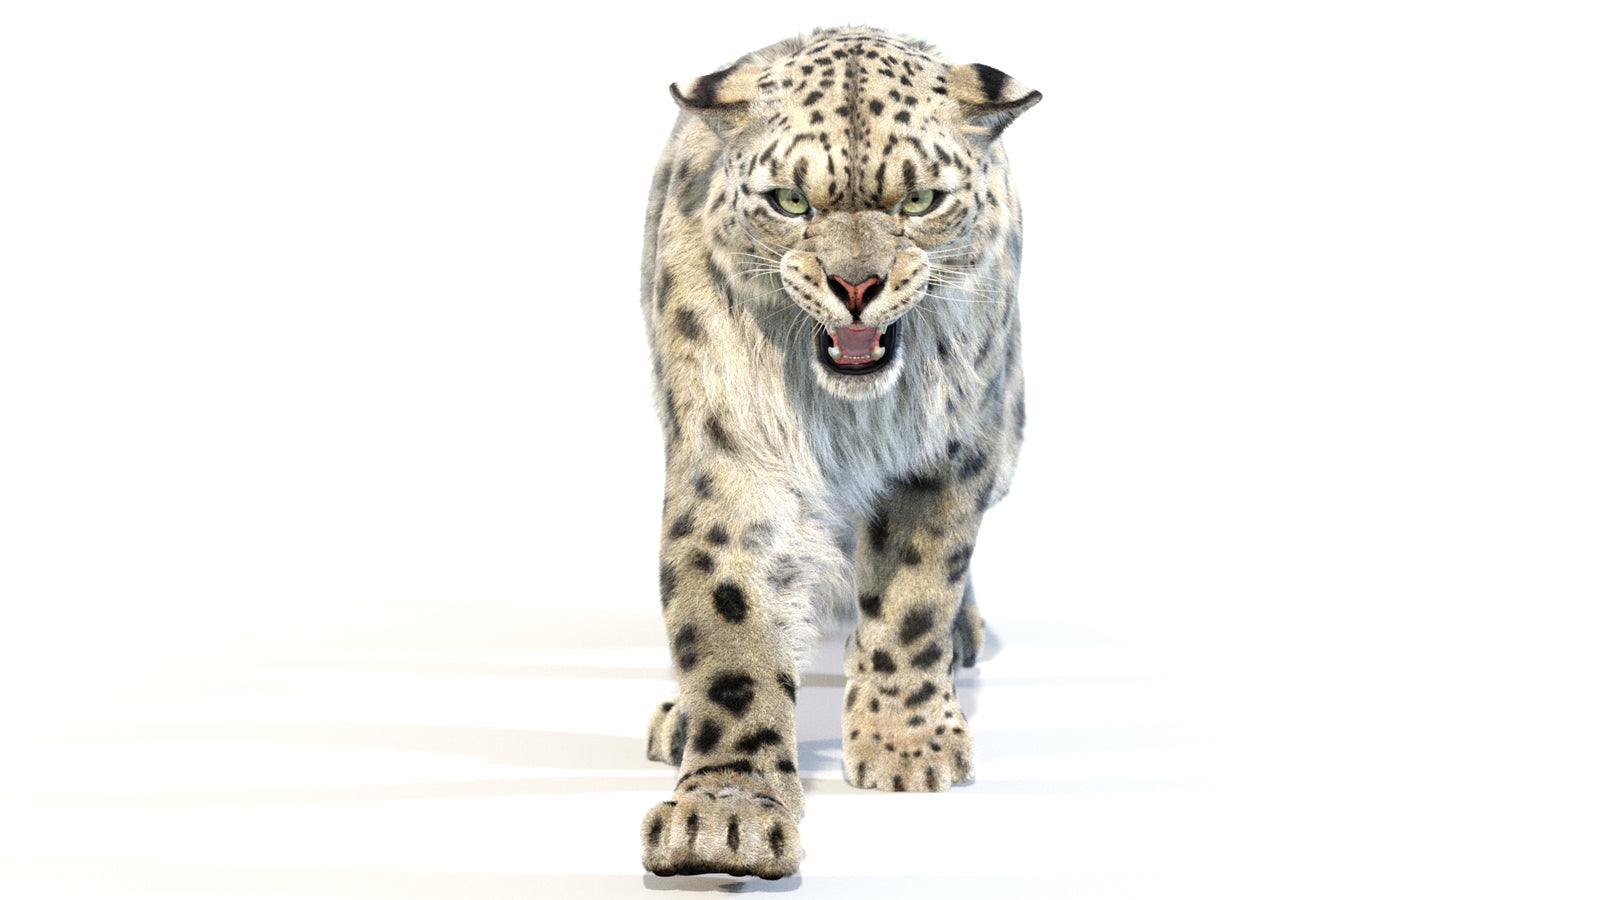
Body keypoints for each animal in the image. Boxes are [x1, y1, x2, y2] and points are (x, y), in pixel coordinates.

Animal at [637, 26, 1040, 879]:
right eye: (791, 201)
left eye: (919, 200)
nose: (857, 285)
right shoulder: (733, 461)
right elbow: (728, 631)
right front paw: (722, 816)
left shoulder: (947, 452)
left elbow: (914, 596)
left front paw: (905, 746)